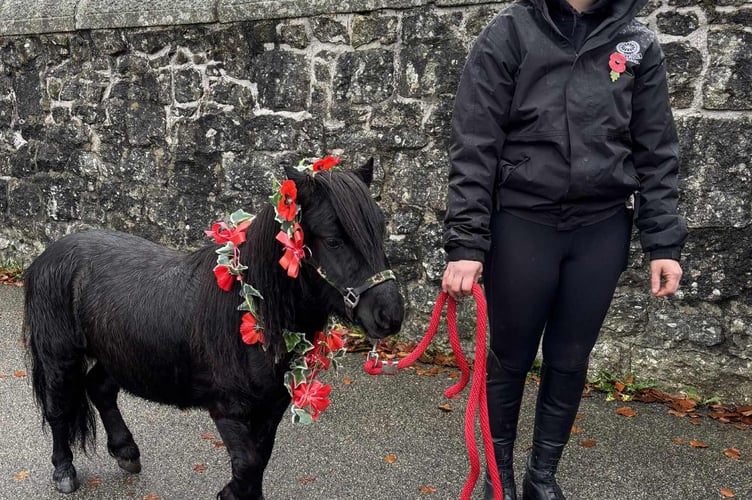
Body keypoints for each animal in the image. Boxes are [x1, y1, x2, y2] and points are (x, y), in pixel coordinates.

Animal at [23, 158, 404, 499]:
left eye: (379, 230)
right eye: (334, 240)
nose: (390, 314)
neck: (248, 311)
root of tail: (48, 256)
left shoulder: (272, 407)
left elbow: (259, 461)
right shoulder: (228, 410)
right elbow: (248, 464)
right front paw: (231, 493)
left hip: (119, 353)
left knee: (99, 388)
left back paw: (126, 451)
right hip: (60, 357)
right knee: (58, 408)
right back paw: (64, 470)